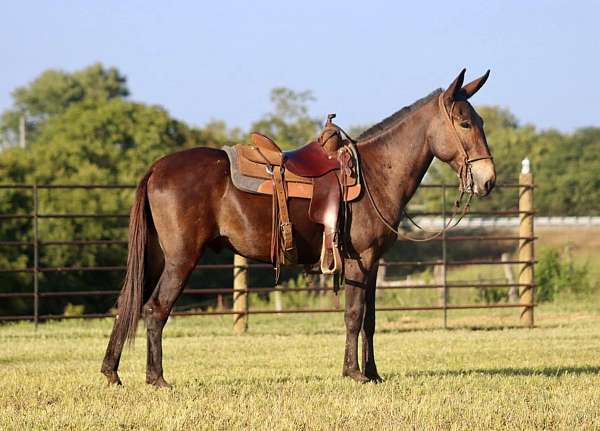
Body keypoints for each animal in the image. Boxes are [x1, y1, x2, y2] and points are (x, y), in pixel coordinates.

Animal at [102, 69, 496, 386]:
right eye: (464, 124)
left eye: (481, 122)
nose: (488, 179)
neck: (375, 174)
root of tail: (157, 168)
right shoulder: (358, 262)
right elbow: (354, 316)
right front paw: (354, 373)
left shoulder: (374, 264)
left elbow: (370, 320)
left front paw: (373, 373)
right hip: (181, 258)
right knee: (155, 309)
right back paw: (157, 379)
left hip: (156, 257)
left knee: (127, 302)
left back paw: (112, 372)